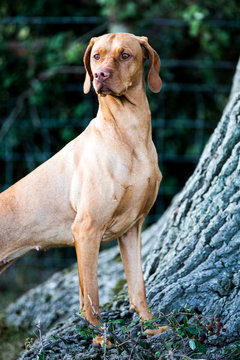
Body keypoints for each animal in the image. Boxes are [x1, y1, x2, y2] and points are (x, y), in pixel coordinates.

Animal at [0, 33, 169, 346]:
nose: (100, 75)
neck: (127, 134)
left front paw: (150, 327)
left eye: (125, 55)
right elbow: (91, 296)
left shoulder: (131, 229)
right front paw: (102, 339)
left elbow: (137, 287)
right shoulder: (86, 231)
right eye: (96, 56)